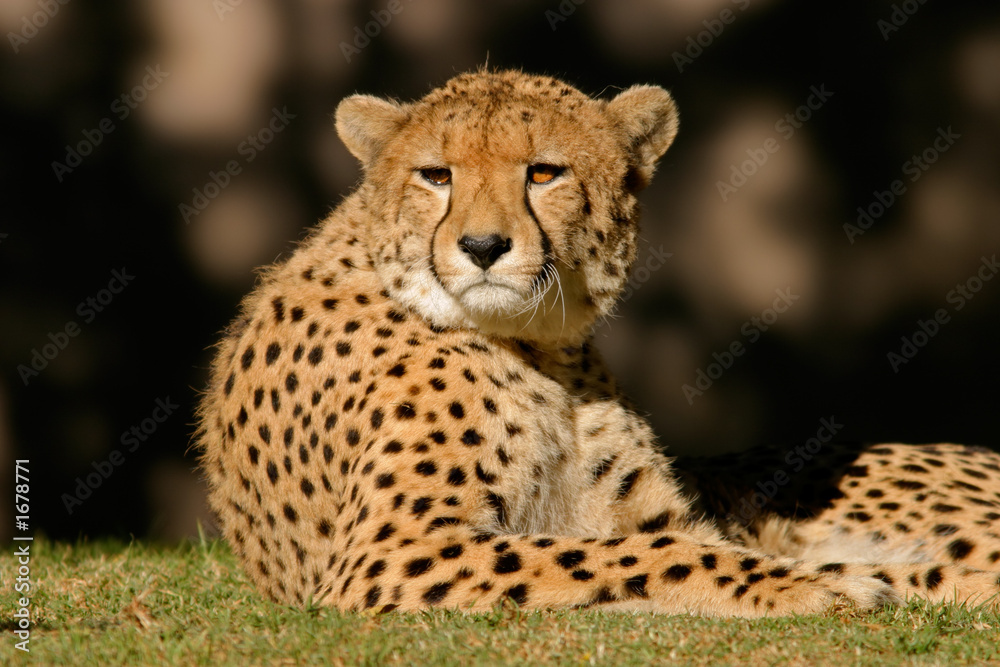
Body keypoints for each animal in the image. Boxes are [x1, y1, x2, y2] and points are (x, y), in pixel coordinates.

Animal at [195, 69, 1000, 617]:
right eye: (436, 175)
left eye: (544, 172)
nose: (482, 247)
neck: (540, 351)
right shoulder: (392, 554)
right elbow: (637, 553)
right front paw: (830, 583)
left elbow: (667, 541)